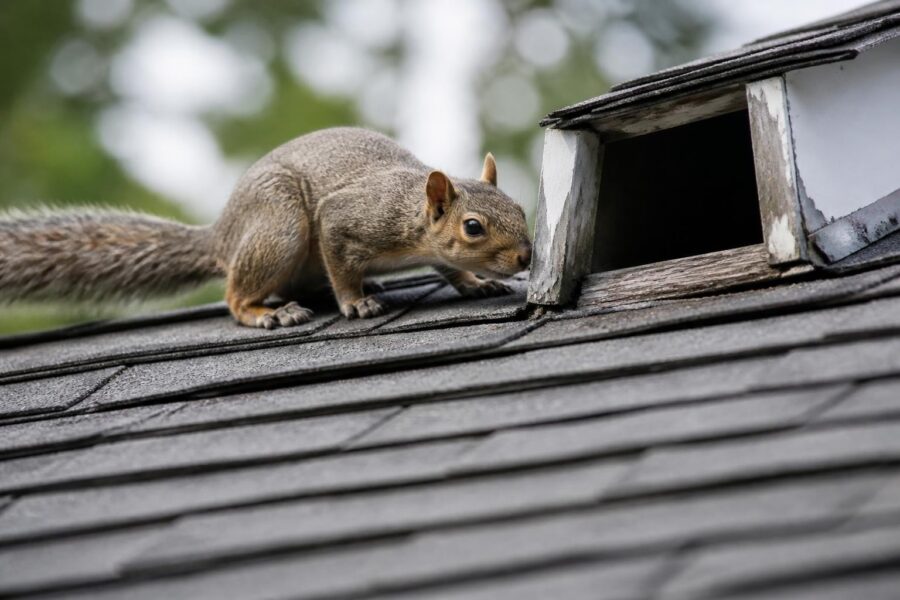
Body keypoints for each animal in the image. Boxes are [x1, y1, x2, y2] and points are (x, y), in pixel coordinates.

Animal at [0, 127, 532, 329]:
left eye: (521, 210)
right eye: (473, 227)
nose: (527, 257)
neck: (410, 212)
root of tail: (224, 234)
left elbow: (451, 270)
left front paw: (475, 283)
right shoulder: (347, 218)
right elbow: (341, 264)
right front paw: (355, 302)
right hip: (279, 228)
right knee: (236, 295)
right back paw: (265, 313)